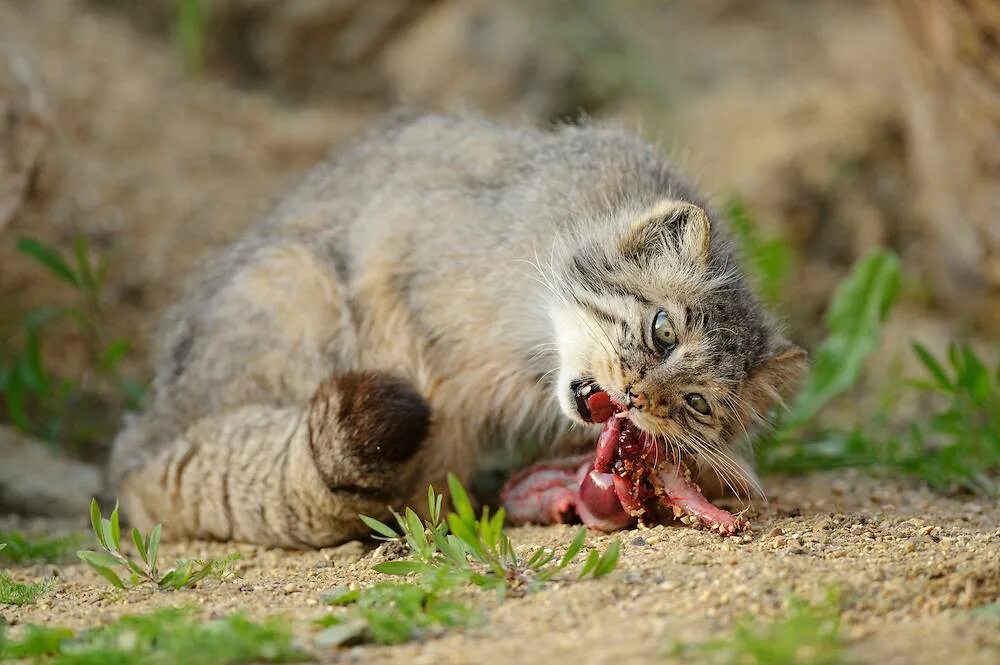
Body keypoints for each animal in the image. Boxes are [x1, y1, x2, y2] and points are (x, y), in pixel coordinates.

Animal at [111, 113, 804, 544]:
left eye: (696, 404)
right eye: (663, 331)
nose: (638, 397)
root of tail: (143, 436)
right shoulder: (397, 265)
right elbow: (437, 414)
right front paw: (431, 517)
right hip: (293, 280)